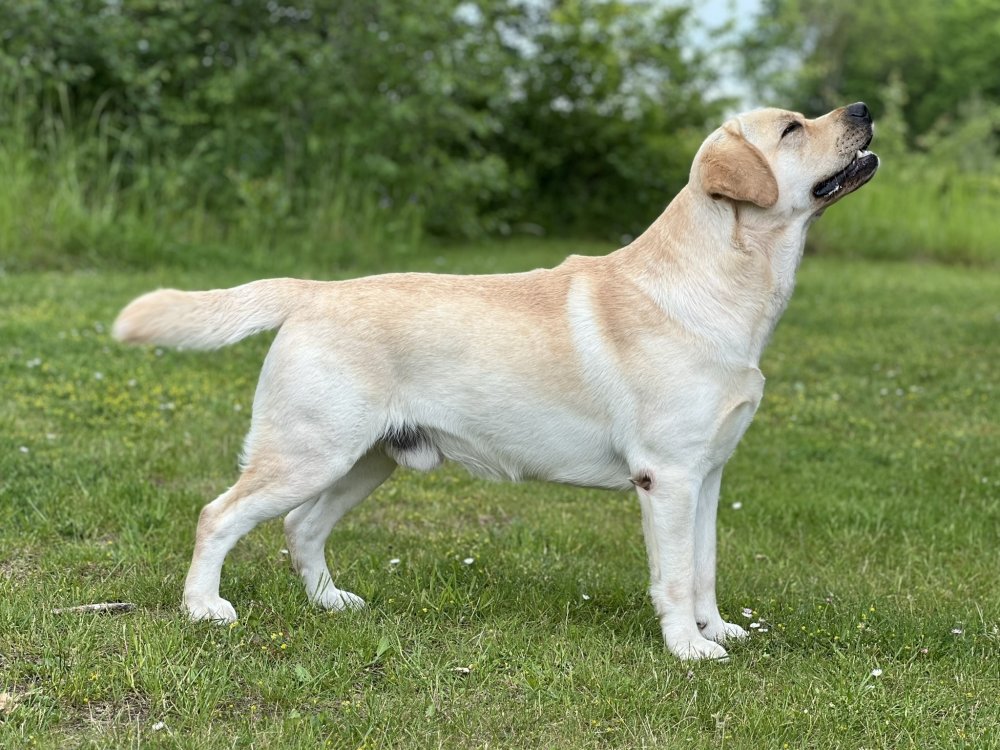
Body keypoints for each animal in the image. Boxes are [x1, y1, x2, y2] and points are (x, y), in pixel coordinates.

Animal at [113, 103, 878, 661]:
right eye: (792, 128)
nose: (864, 109)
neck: (720, 287)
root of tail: (313, 291)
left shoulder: (709, 475)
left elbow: (707, 565)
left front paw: (716, 630)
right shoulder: (668, 478)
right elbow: (677, 573)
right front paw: (690, 649)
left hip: (368, 460)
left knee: (301, 528)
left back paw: (332, 603)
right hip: (308, 453)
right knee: (218, 515)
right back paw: (204, 609)